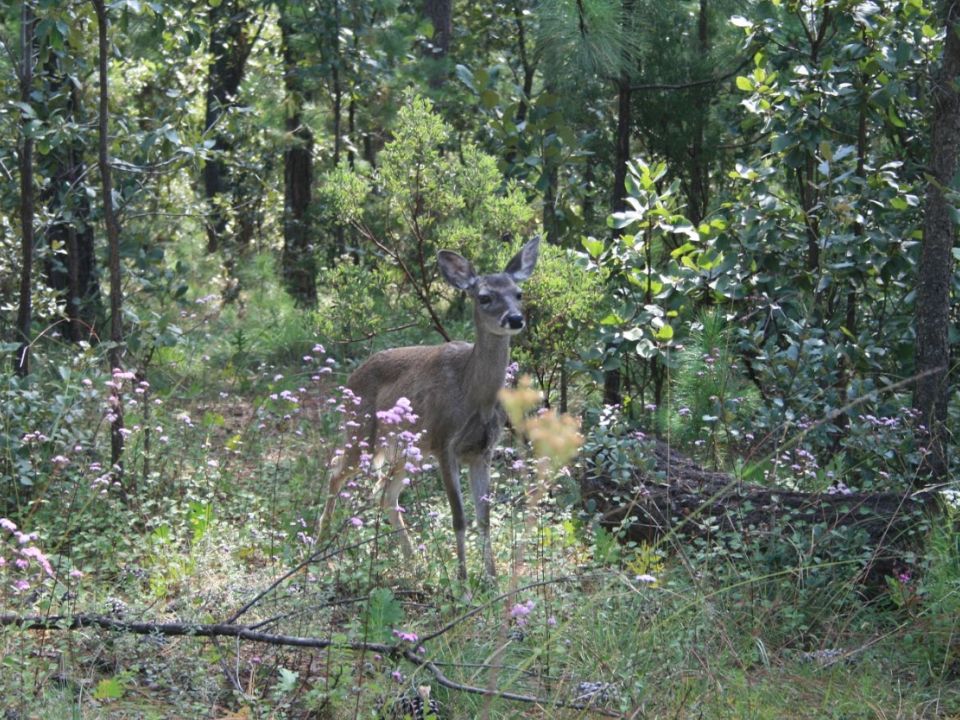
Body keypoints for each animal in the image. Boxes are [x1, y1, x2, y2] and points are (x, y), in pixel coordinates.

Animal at [316, 236, 536, 580]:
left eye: (519, 293)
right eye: (485, 297)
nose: (515, 319)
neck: (474, 395)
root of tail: (352, 377)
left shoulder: (483, 451)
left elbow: (484, 517)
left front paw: (491, 578)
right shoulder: (444, 442)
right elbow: (459, 517)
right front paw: (462, 580)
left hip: (407, 448)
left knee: (385, 493)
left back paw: (414, 563)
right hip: (361, 430)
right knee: (336, 472)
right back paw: (319, 553)